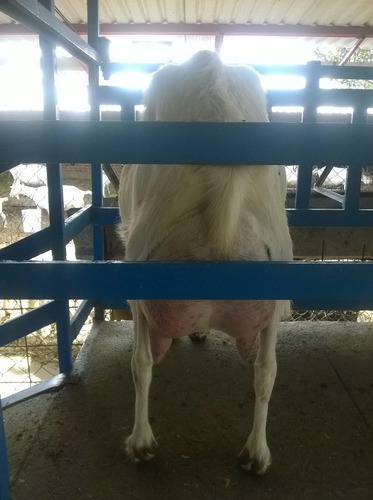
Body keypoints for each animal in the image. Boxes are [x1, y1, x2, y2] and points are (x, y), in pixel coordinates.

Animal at [117, 51, 292, 476]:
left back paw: (141, 442)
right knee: (267, 369)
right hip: (277, 278)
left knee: (141, 362)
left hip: (138, 271)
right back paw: (256, 453)